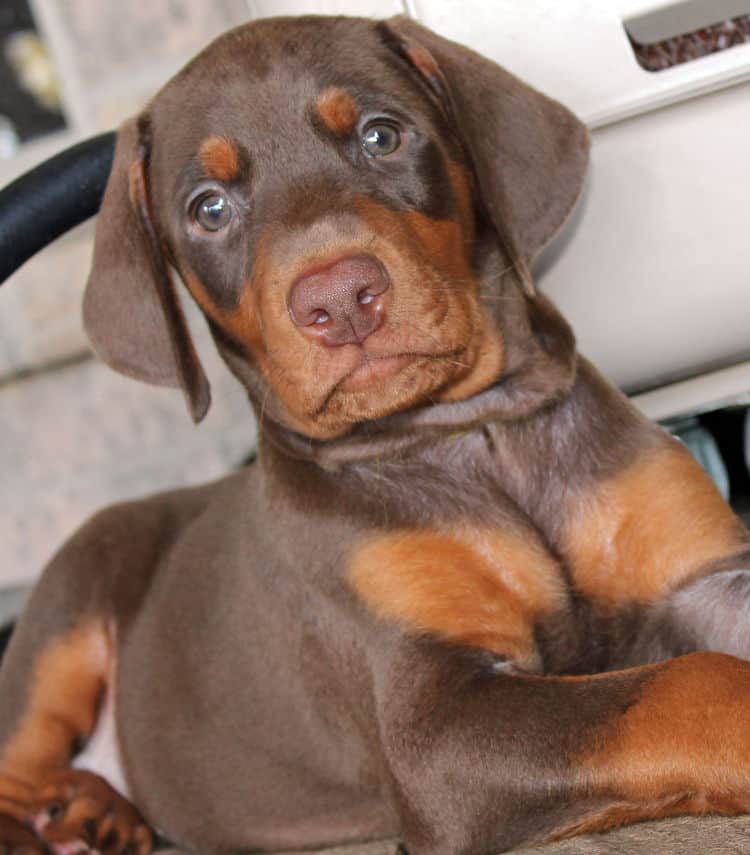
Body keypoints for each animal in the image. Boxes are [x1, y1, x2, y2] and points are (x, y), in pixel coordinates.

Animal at [1, 13, 750, 855]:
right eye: (209, 209)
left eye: (380, 135)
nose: (338, 299)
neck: (468, 435)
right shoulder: (432, 723)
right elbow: (688, 682)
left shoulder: (703, 578)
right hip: (72, 593)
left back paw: (93, 811)